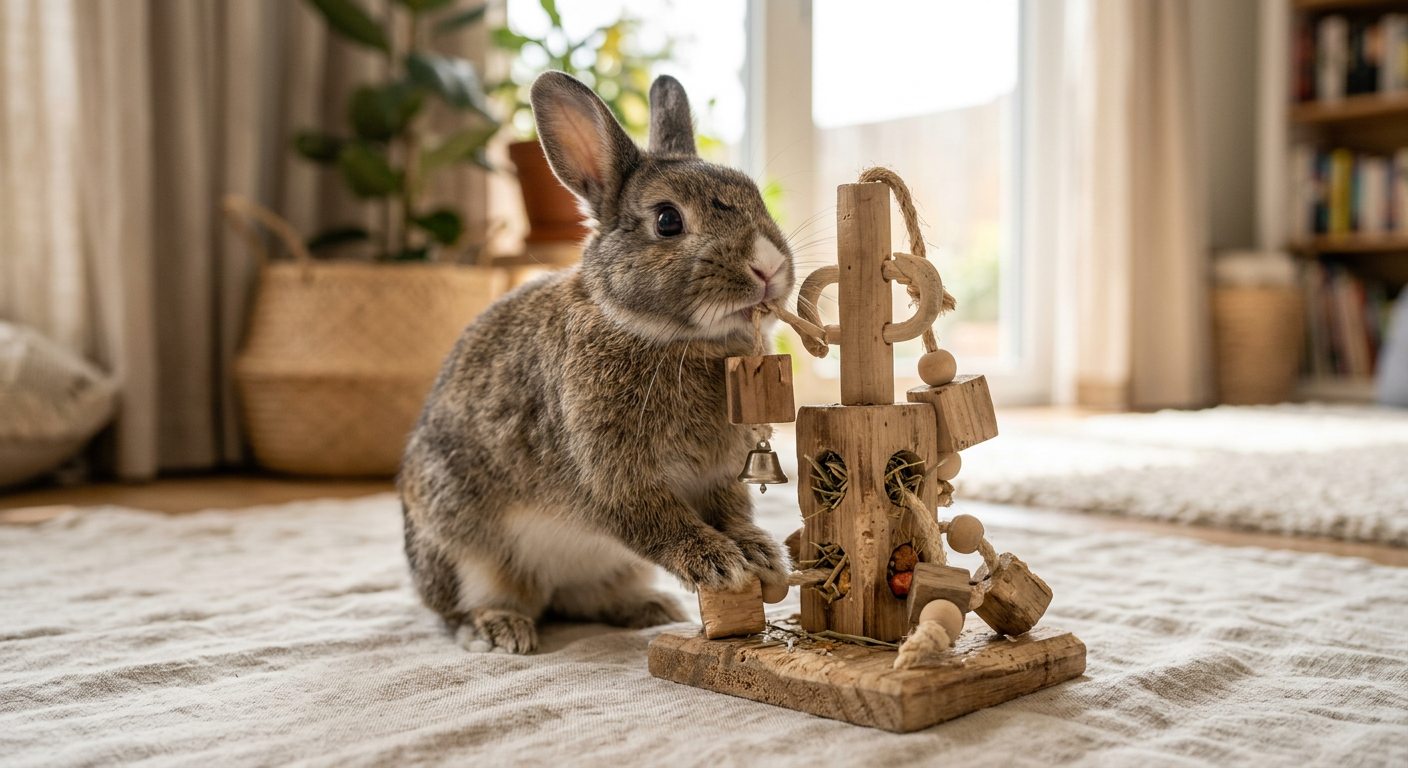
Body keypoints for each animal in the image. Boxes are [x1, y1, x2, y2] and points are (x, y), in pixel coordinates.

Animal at [398, 71, 795, 654]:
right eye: (668, 220)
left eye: (755, 196)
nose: (768, 267)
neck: (673, 340)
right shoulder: (610, 476)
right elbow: (654, 521)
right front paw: (720, 564)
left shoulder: (723, 476)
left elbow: (735, 511)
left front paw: (764, 557)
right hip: (465, 551)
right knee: (464, 608)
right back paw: (501, 630)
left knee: (583, 600)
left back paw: (649, 608)